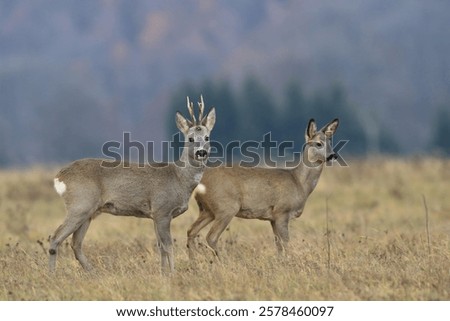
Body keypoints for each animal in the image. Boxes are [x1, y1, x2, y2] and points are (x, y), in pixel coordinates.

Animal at [50, 95, 215, 272]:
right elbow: (168, 246)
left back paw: (92, 272)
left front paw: (163, 272)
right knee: (55, 237)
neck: (178, 178)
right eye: (190, 138)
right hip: (80, 204)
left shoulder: (154, 215)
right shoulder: (162, 210)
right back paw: (52, 273)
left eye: (207, 137)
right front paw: (172, 272)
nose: (201, 152)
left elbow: (160, 247)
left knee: (76, 243)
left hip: (88, 212)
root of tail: (60, 176)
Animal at [186, 117, 338, 258]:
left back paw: (195, 261)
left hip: (207, 210)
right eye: (318, 143)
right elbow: (286, 243)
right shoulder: (282, 212)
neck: (298, 182)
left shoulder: (272, 219)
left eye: (330, 142)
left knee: (191, 231)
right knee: (211, 236)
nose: (333, 156)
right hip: (226, 207)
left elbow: (278, 246)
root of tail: (200, 183)